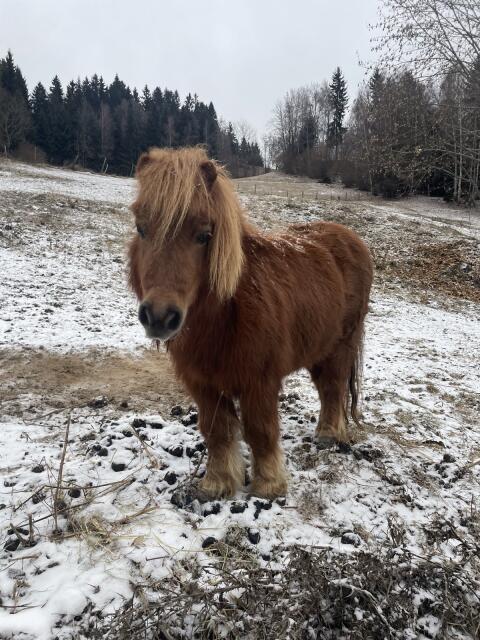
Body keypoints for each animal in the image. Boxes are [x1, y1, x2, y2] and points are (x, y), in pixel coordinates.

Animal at [128, 147, 373, 499]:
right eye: (141, 229)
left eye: (204, 235)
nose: (160, 316)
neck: (224, 318)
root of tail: (351, 237)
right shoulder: (202, 383)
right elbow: (217, 431)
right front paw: (217, 483)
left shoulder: (259, 381)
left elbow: (260, 431)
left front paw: (268, 485)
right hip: (319, 348)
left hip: (341, 345)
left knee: (333, 388)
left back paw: (328, 435)